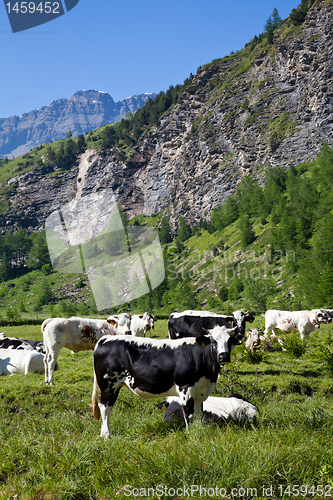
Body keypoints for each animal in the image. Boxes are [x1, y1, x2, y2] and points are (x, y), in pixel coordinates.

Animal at [91, 324, 244, 438]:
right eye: (213, 341)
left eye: (230, 341)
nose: (223, 356)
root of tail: (105, 339)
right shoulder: (185, 387)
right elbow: (188, 413)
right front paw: (191, 435)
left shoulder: (201, 391)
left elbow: (198, 413)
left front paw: (198, 432)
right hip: (107, 384)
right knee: (105, 407)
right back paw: (106, 436)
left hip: (115, 385)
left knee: (108, 406)